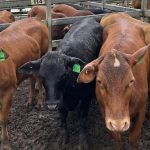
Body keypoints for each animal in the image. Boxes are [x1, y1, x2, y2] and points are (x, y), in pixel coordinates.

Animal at [0, 17, 48, 149]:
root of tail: (35, 18)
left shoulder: (9, 90)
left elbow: (3, 118)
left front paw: (5, 142)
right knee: (32, 80)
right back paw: (30, 101)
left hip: (42, 57)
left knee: (39, 80)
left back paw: (39, 102)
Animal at [18, 17, 103, 149]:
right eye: (42, 76)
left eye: (63, 75)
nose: (52, 104)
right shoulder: (61, 102)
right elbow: (63, 119)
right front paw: (63, 138)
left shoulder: (86, 98)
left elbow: (82, 119)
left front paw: (82, 141)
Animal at [77, 12, 150, 144]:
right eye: (99, 81)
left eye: (131, 81)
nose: (118, 124)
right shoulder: (105, 113)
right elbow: (116, 139)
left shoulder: (142, 109)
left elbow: (133, 138)